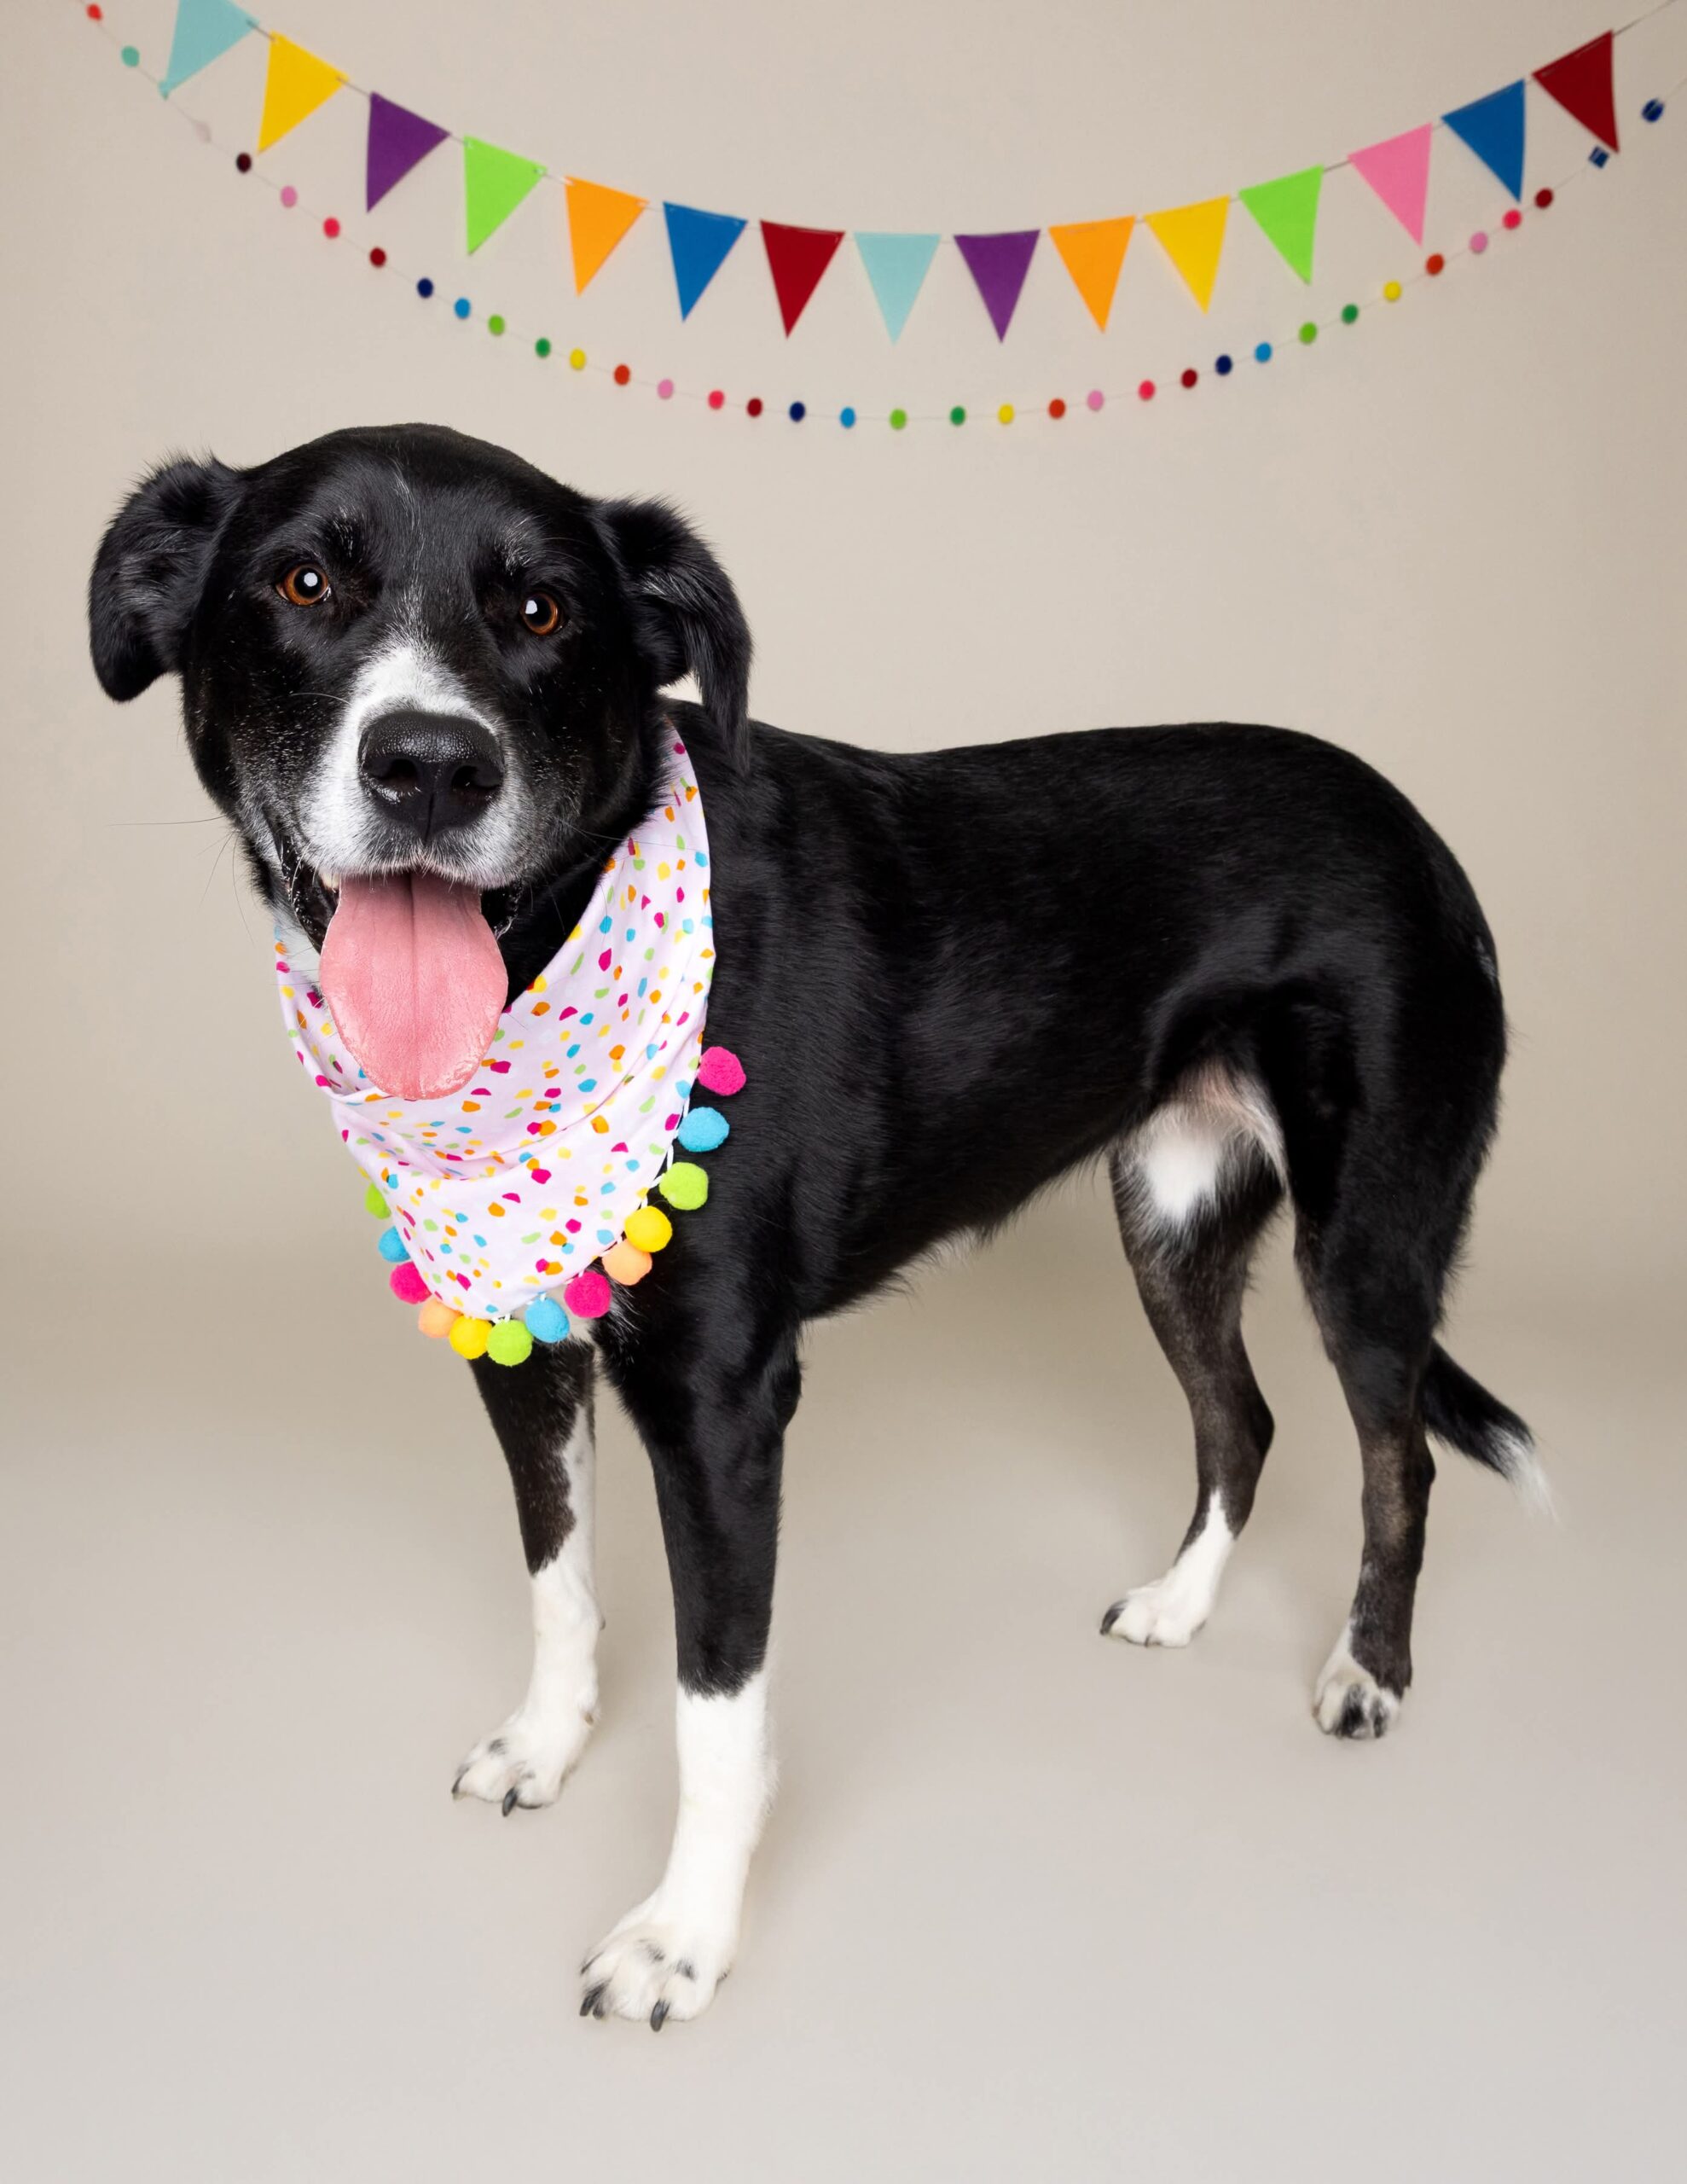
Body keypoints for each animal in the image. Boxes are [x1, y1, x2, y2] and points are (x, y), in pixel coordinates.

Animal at [88, 423, 1540, 2028]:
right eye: (303, 583)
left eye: (541, 611)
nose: (431, 766)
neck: (548, 961)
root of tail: (1412, 829)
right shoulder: (522, 1349)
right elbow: (558, 1581)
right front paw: (546, 1745)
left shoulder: (722, 1404)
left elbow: (715, 1708)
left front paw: (682, 1938)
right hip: (1166, 1212)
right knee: (1244, 1419)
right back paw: (1179, 1606)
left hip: (1366, 1241)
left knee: (1396, 1452)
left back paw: (1366, 1674)